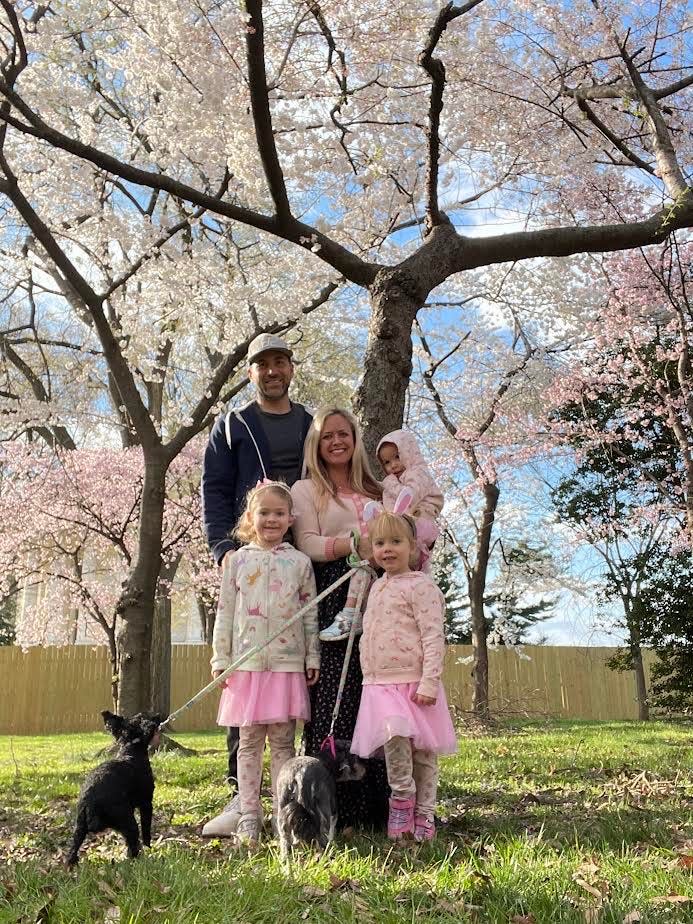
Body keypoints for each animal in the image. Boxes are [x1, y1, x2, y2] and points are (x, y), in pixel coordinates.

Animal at [66, 712, 161, 864]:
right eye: (141, 717)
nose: (158, 715)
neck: (130, 750)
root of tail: (90, 803)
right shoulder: (146, 803)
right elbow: (146, 829)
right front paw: (148, 846)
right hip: (128, 821)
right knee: (133, 845)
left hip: (79, 828)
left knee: (72, 853)